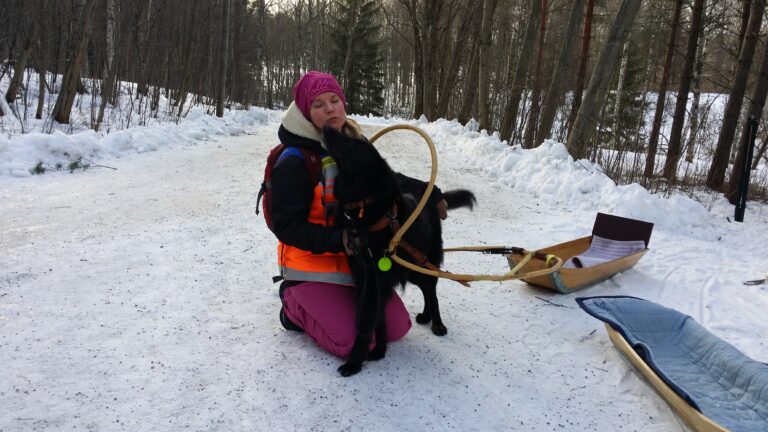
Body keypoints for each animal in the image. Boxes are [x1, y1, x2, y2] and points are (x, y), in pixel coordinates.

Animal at [320, 125, 476, 374]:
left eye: (352, 143)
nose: (326, 128)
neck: (366, 210)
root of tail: (430, 200)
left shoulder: (373, 283)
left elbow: (366, 322)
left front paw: (354, 363)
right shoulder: (365, 279)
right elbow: (378, 321)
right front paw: (379, 350)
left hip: (423, 263)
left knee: (432, 292)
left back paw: (437, 323)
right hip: (411, 268)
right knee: (426, 291)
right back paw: (426, 316)